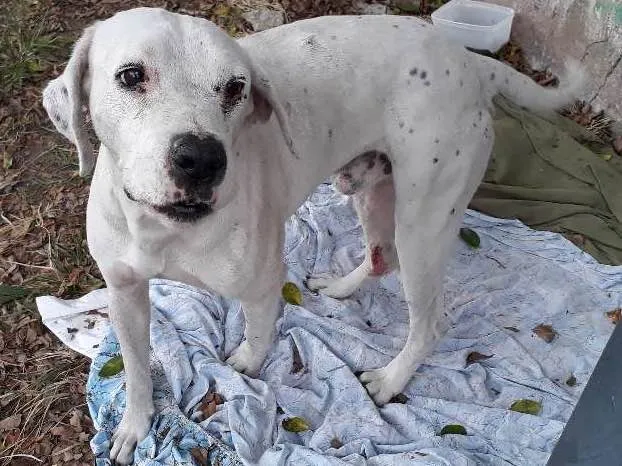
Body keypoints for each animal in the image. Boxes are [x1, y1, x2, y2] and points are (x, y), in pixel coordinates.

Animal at [42, 9, 584, 464]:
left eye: (235, 88)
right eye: (132, 75)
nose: (203, 159)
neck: (165, 227)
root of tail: (468, 62)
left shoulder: (262, 288)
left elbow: (257, 341)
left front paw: (245, 368)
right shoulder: (124, 293)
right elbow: (135, 369)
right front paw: (135, 427)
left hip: (424, 223)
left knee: (428, 321)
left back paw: (389, 380)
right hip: (372, 191)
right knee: (381, 255)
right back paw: (341, 288)